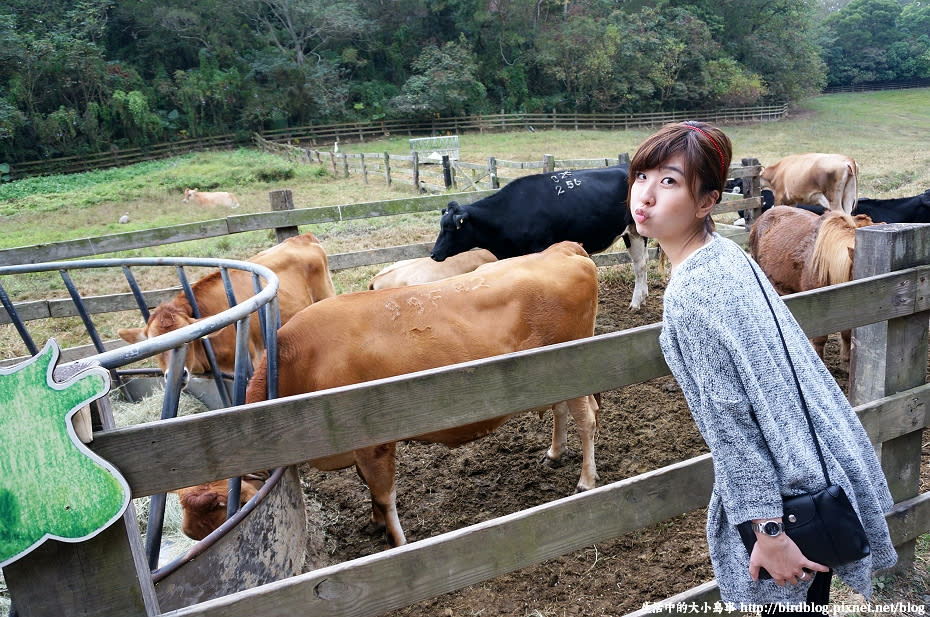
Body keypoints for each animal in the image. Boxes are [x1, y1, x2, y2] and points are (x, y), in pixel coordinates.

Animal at [428, 164, 644, 308]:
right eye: (441, 225)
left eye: (450, 227)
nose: (433, 254)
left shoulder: (540, 247)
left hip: (636, 230)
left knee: (640, 265)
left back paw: (636, 302)